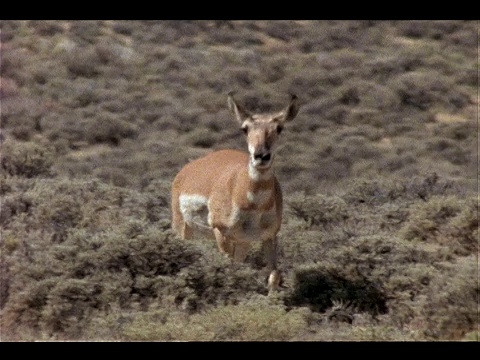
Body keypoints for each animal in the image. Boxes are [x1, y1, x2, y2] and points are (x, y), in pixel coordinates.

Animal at [172, 91, 300, 294]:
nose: (261, 156)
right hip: (184, 229)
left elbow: (274, 275)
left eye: (279, 128)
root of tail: (187, 170)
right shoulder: (221, 233)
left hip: (242, 243)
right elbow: (227, 270)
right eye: (245, 129)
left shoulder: (269, 236)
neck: (253, 204)